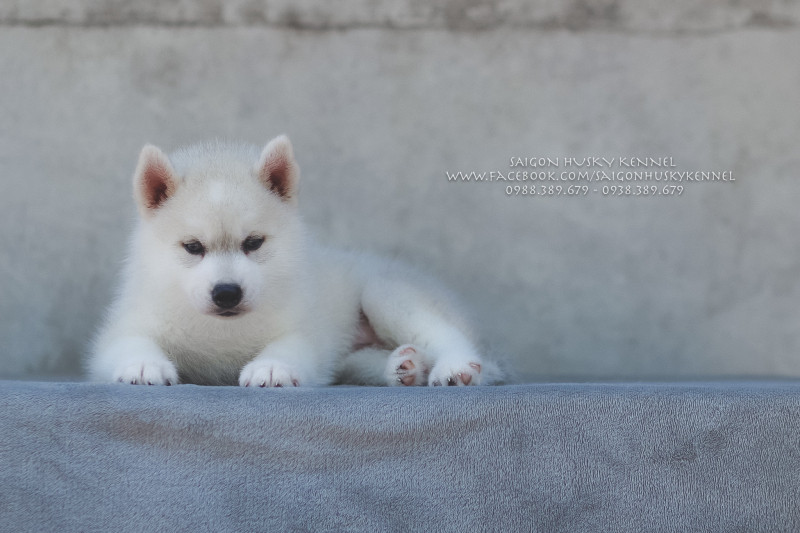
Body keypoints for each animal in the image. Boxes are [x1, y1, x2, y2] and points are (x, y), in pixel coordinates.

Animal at [87, 135, 500, 386]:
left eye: (253, 243)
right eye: (193, 247)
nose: (227, 293)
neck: (220, 333)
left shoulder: (303, 330)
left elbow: (287, 347)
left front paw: (272, 368)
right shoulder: (127, 325)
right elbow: (129, 343)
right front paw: (143, 364)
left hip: (386, 293)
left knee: (447, 334)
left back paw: (454, 366)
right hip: (350, 356)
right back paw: (406, 367)